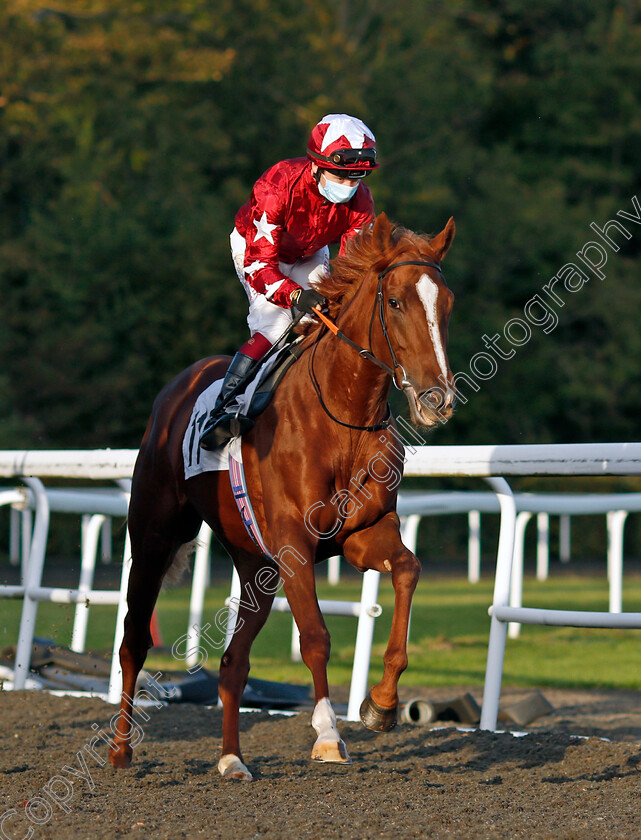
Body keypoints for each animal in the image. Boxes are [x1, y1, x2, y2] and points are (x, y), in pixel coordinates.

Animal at [110, 213, 456, 776]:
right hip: (154, 536)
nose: (436, 398)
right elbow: (315, 636)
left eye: (446, 302)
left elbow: (408, 569)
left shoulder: (362, 534)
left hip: (256, 565)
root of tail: (177, 388)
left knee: (232, 663)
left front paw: (380, 705)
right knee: (134, 641)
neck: (342, 417)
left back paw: (232, 760)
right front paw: (328, 734)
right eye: (396, 302)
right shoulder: (295, 541)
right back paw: (121, 748)